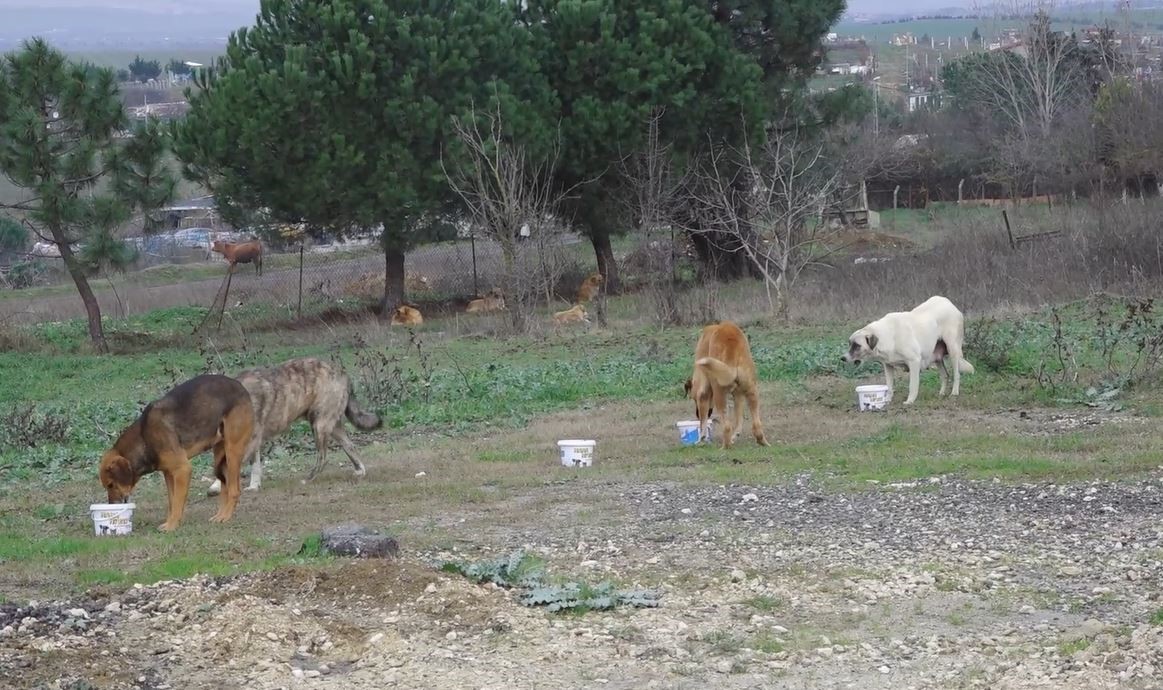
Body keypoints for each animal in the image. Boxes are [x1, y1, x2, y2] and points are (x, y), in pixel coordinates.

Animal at [100, 374, 254, 530]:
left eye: (111, 485)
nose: (111, 505)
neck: (144, 437)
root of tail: (239, 385)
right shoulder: (169, 473)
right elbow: (172, 501)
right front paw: (170, 521)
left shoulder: (183, 470)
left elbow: (177, 501)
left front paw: (171, 525)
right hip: (220, 455)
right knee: (225, 488)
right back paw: (219, 515)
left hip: (232, 451)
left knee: (234, 490)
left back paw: (226, 516)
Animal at [209, 356, 386, 495]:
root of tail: (343, 373)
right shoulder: (252, 441)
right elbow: (255, 465)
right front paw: (254, 486)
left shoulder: (249, 441)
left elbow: (229, 465)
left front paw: (216, 486)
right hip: (331, 426)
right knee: (350, 446)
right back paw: (359, 470)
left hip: (319, 425)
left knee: (323, 457)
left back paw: (309, 478)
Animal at [679, 321, 772, 449]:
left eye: (693, 399)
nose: (696, 415)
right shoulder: (738, 395)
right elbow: (738, 421)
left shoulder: (703, 391)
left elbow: (703, 423)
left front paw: (701, 439)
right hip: (752, 390)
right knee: (756, 424)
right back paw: (762, 442)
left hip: (719, 394)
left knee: (727, 426)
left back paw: (725, 446)